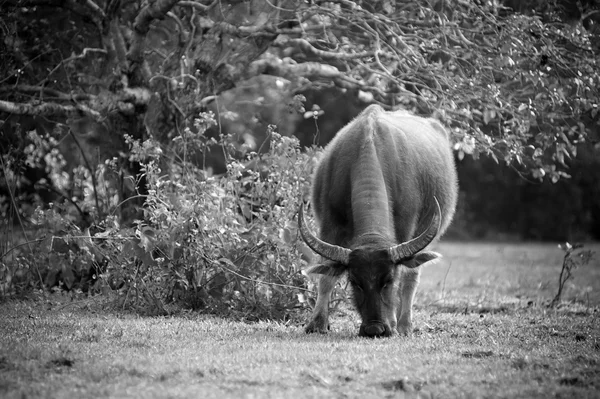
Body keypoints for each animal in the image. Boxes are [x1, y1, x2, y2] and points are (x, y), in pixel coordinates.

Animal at [298, 104, 458, 338]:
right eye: (355, 282)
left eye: (388, 280)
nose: (375, 328)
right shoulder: (329, 225)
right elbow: (326, 276)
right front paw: (317, 323)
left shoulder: (406, 227)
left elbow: (403, 277)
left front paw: (394, 323)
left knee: (411, 277)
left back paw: (404, 325)